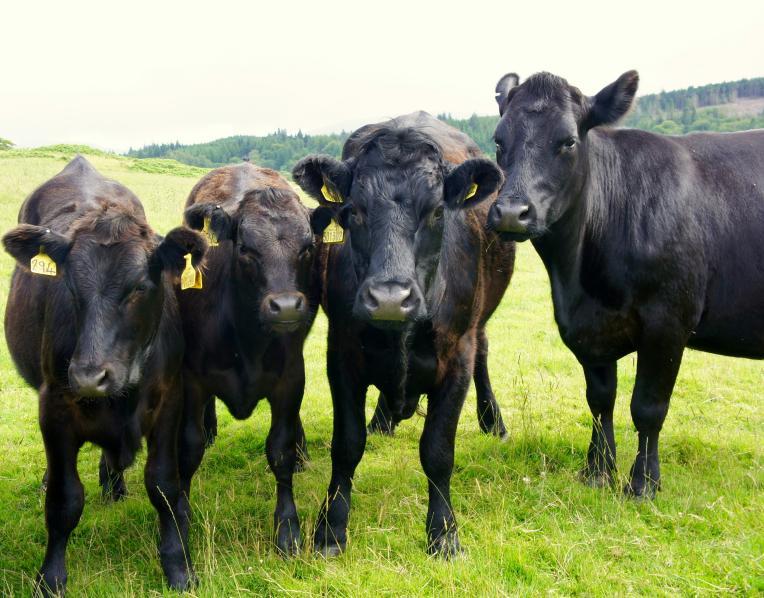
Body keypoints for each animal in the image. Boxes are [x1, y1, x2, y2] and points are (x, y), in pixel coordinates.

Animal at [2, 156, 207, 595]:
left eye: (140, 286)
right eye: (68, 284)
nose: (88, 376)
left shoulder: (170, 399)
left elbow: (164, 485)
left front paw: (178, 566)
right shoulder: (54, 406)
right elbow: (64, 500)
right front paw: (50, 577)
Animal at [175, 163, 320, 555]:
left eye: (308, 247)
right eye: (245, 248)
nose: (286, 306)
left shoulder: (291, 378)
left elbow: (280, 449)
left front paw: (287, 529)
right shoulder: (191, 379)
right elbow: (189, 448)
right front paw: (182, 518)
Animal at [292, 111, 515, 557]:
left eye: (436, 212)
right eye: (353, 212)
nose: (390, 299)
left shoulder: (456, 359)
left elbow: (438, 451)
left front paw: (444, 534)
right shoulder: (341, 353)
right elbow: (347, 445)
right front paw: (330, 529)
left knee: (483, 351)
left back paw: (493, 422)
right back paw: (384, 418)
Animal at [490, 70, 764, 497]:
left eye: (568, 141)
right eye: (499, 140)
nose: (510, 212)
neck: (578, 280)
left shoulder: (668, 322)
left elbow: (647, 407)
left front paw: (643, 483)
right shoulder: (588, 329)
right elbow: (600, 400)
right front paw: (598, 471)